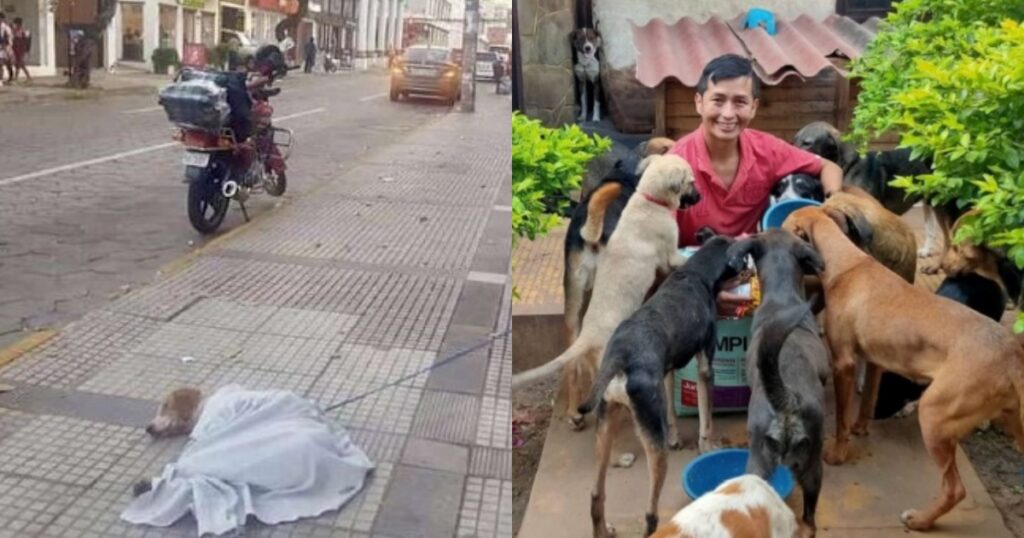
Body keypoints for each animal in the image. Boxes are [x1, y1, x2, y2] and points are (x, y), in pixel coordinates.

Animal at [577, 234, 737, 536]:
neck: (694, 273)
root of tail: (620, 359)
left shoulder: (668, 369)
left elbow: (673, 413)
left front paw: (676, 436)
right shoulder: (705, 366)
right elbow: (706, 418)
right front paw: (707, 446)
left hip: (606, 422)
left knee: (595, 495)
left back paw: (604, 529)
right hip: (652, 441)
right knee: (650, 514)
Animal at [782, 204, 1024, 528]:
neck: (847, 263)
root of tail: (1011, 354)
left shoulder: (844, 364)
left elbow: (841, 419)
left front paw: (838, 453)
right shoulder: (874, 361)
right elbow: (867, 401)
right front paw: (861, 428)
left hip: (933, 416)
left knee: (954, 489)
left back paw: (920, 520)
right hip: (1014, 424)